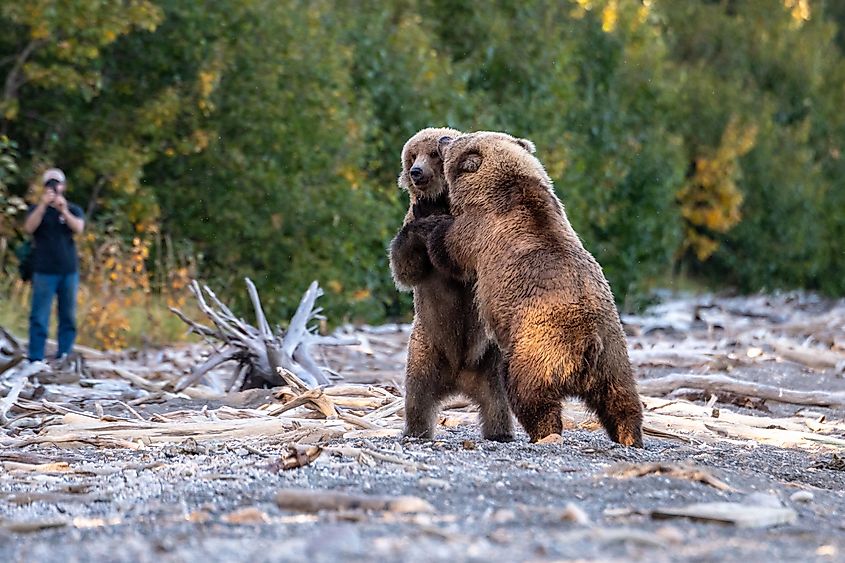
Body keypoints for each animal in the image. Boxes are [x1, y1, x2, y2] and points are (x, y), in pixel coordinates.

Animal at [386, 128, 512, 440]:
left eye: (433, 153)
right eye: (412, 155)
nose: (417, 172)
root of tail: (458, 378)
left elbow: (462, 267)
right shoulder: (410, 223)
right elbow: (407, 268)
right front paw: (423, 217)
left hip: (488, 358)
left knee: (497, 399)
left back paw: (500, 432)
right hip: (425, 348)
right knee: (417, 396)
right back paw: (416, 431)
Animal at [418, 132, 644, 450]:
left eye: (458, 142)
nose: (444, 137)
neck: (505, 185)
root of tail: (589, 342)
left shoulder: (478, 230)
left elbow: (450, 250)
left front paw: (433, 226)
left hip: (538, 346)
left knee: (529, 393)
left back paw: (543, 432)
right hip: (614, 353)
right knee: (621, 397)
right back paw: (629, 436)